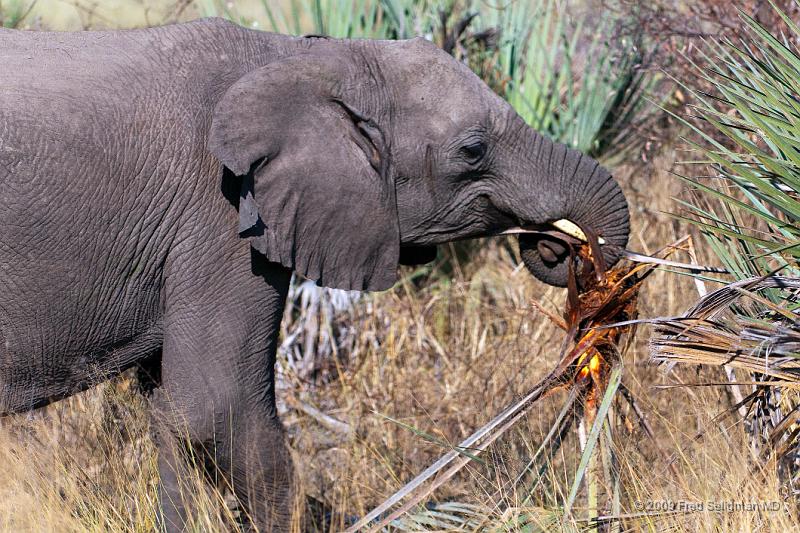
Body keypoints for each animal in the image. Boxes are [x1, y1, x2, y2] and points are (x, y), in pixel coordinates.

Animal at [0, 15, 632, 528]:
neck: (306, 59)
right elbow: (217, 407)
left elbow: (173, 417)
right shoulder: (221, 215)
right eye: (473, 151)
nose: (562, 251)